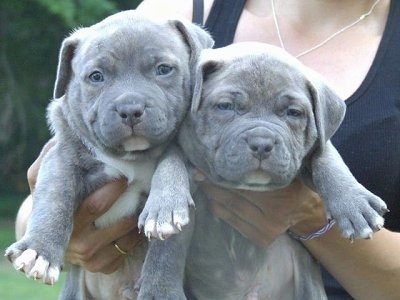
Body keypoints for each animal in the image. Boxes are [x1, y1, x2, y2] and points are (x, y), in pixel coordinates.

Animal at [4, 9, 214, 300]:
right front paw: (39, 251)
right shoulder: (61, 157)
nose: (130, 108)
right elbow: (55, 198)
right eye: (96, 77)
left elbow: (168, 245)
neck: (132, 158)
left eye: (163, 69)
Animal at [139, 42, 390, 300]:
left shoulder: (312, 147)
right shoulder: (178, 146)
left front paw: (354, 203)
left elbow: (328, 159)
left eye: (294, 112)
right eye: (225, 106)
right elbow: (170, 178)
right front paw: (165, 208)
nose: (261, 143)